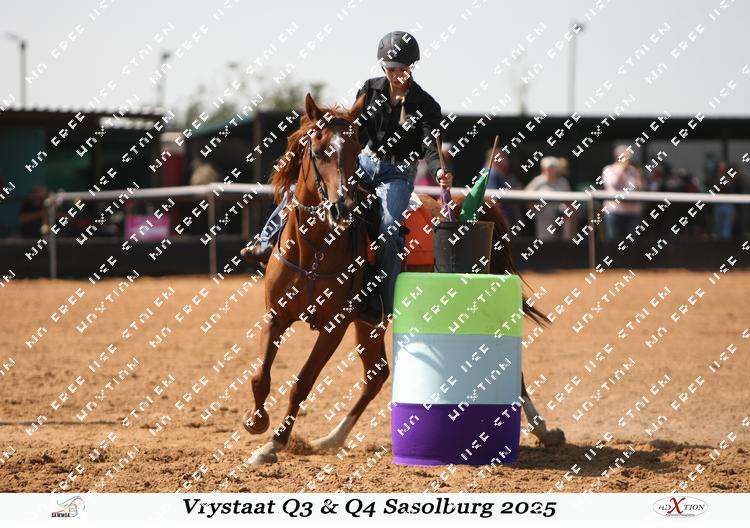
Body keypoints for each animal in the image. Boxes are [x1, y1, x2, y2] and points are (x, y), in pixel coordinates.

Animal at [242, 92, 564, 465]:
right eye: (319, 150)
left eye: (355, 151)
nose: (342, 208)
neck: (314, 250)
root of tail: (473, 208)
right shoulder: (276, 315)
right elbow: (260, 375)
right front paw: (256, 422)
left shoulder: (334, 327)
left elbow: (302, 382)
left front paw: (274, 443)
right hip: (368, 322)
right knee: (376, 375)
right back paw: (332, 438)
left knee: (516, 375)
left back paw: (545, 430)